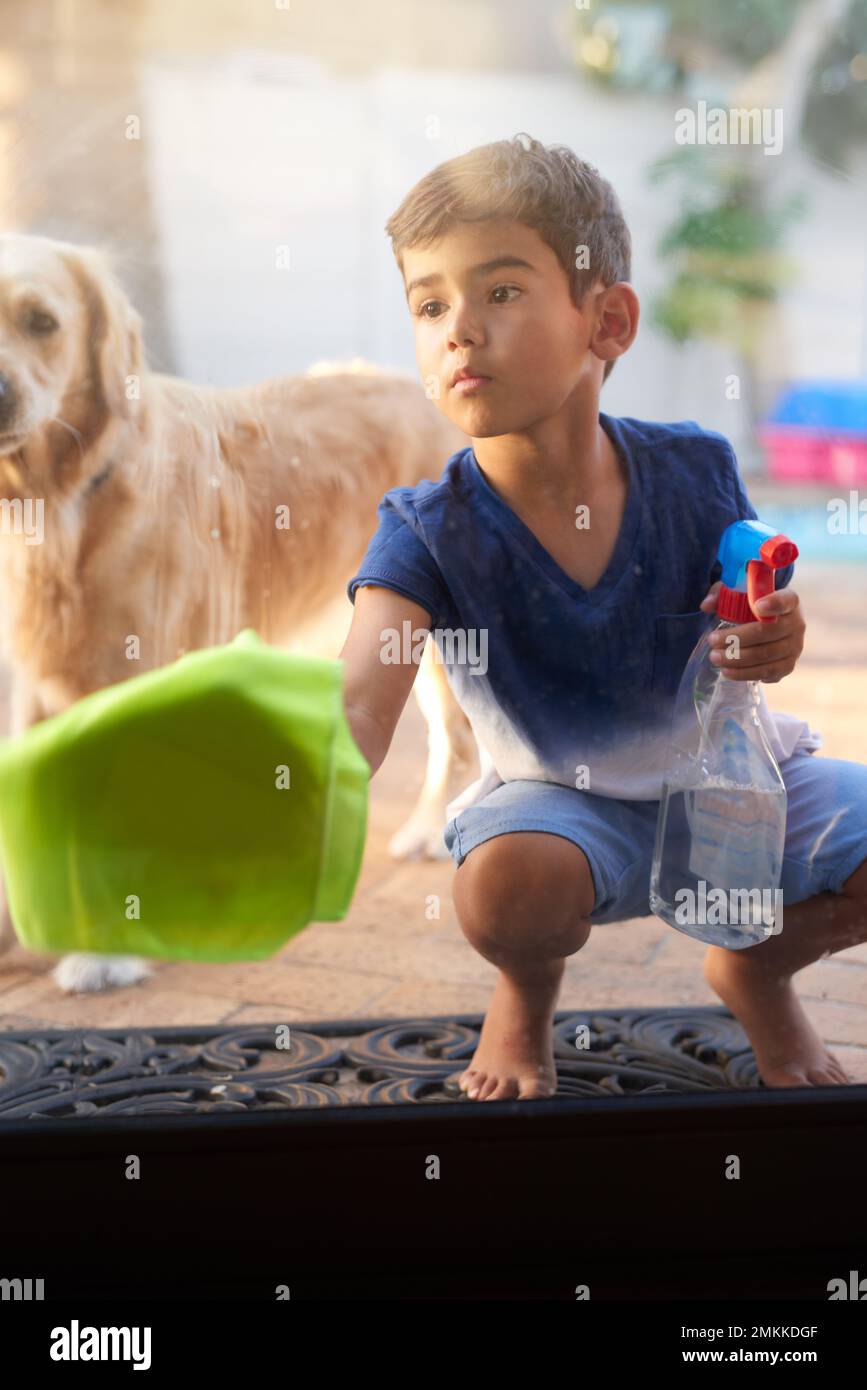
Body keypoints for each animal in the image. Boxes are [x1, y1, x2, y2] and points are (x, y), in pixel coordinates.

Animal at [0, 239, 477, 995]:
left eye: (40, 321)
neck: (70, 499)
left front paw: (103, 951)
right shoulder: (36, 685)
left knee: (458, 741)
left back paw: (433, 833)